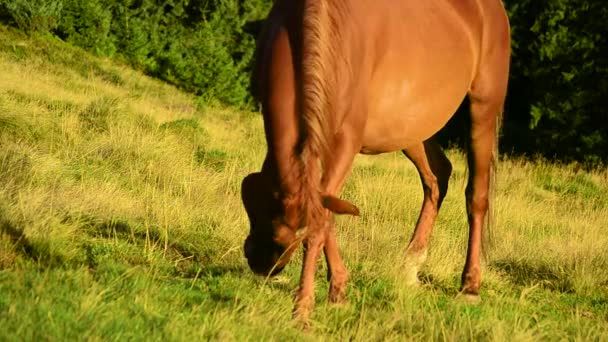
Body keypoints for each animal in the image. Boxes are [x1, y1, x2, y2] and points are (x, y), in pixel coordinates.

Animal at [240, 0, 510, 322]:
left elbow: (323, 217)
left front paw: (305, 306)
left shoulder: (345, 141)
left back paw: (470, 286)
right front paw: (338, 290)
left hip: (483, 109)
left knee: (476, 197)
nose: (261, 262)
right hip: (411, 127)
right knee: (438, 175)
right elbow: (327, 212)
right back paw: (411, 264)